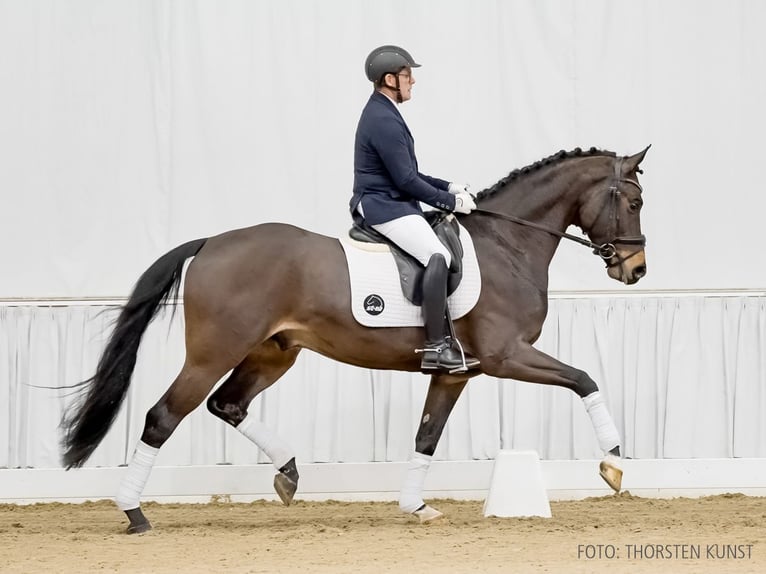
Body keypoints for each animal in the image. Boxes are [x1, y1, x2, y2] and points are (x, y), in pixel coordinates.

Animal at [61, 146, 648, 532]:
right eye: (635, 202)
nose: (636, 269)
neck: (508, 243)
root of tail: (209, 243)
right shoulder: (507, 356)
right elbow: (584, 378)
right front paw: (614, 464)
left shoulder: (458, 372)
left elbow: (426, 436)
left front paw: (416, 506)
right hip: (213, 352)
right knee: (164, 416)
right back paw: (134, 513)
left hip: (273, 353)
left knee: (227, 404)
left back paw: (289, 473)